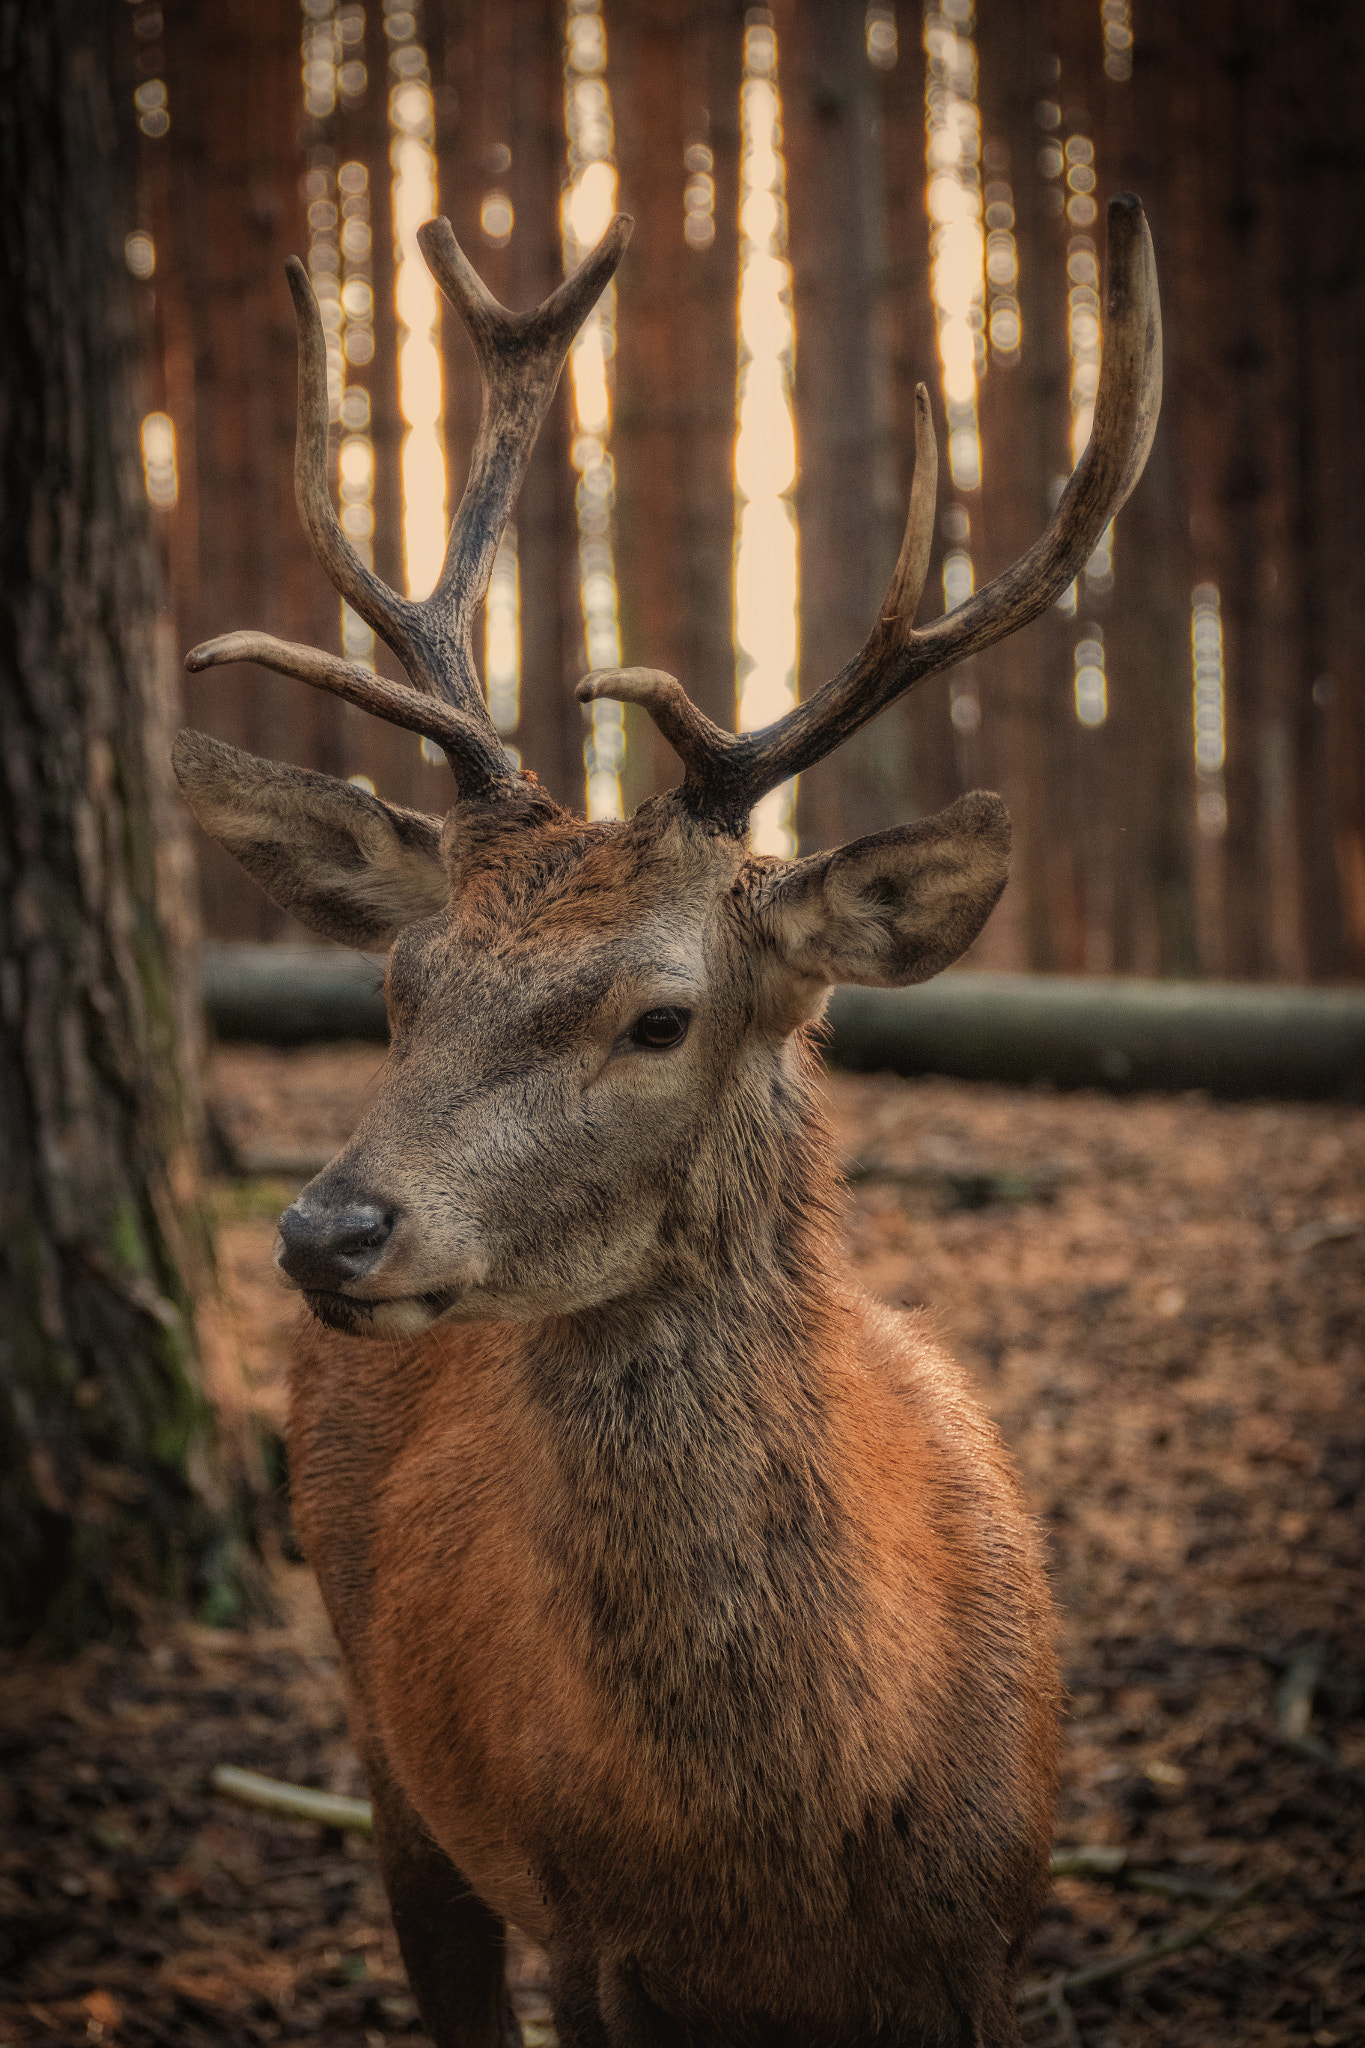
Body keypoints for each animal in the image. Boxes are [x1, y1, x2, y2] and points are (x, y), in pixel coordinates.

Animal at [175, 192, 1160, 2048]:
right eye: (398, 985)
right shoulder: (594, 1935)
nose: (327, 1228)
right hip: (386, 1744)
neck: (791, 1838)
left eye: (658, 1014)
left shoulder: (990, 1922)